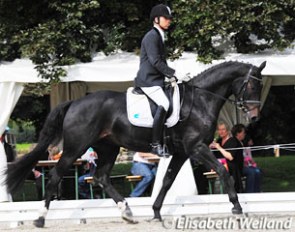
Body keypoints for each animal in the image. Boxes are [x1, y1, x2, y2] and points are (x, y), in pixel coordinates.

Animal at [5, 59, 268, 227]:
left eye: (260, 85)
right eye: (251, 84)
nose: (255, 117)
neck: (201, 100)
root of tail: (74, 103)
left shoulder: (182, 153)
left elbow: (167, 181)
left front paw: (156, 212)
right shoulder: (197, 148)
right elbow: (223, 171)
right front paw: (237, 208)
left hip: (108, 148)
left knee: (101, 177)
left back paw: (128, 212)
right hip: (75, 148)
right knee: (56, 176)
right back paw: (40, 218)